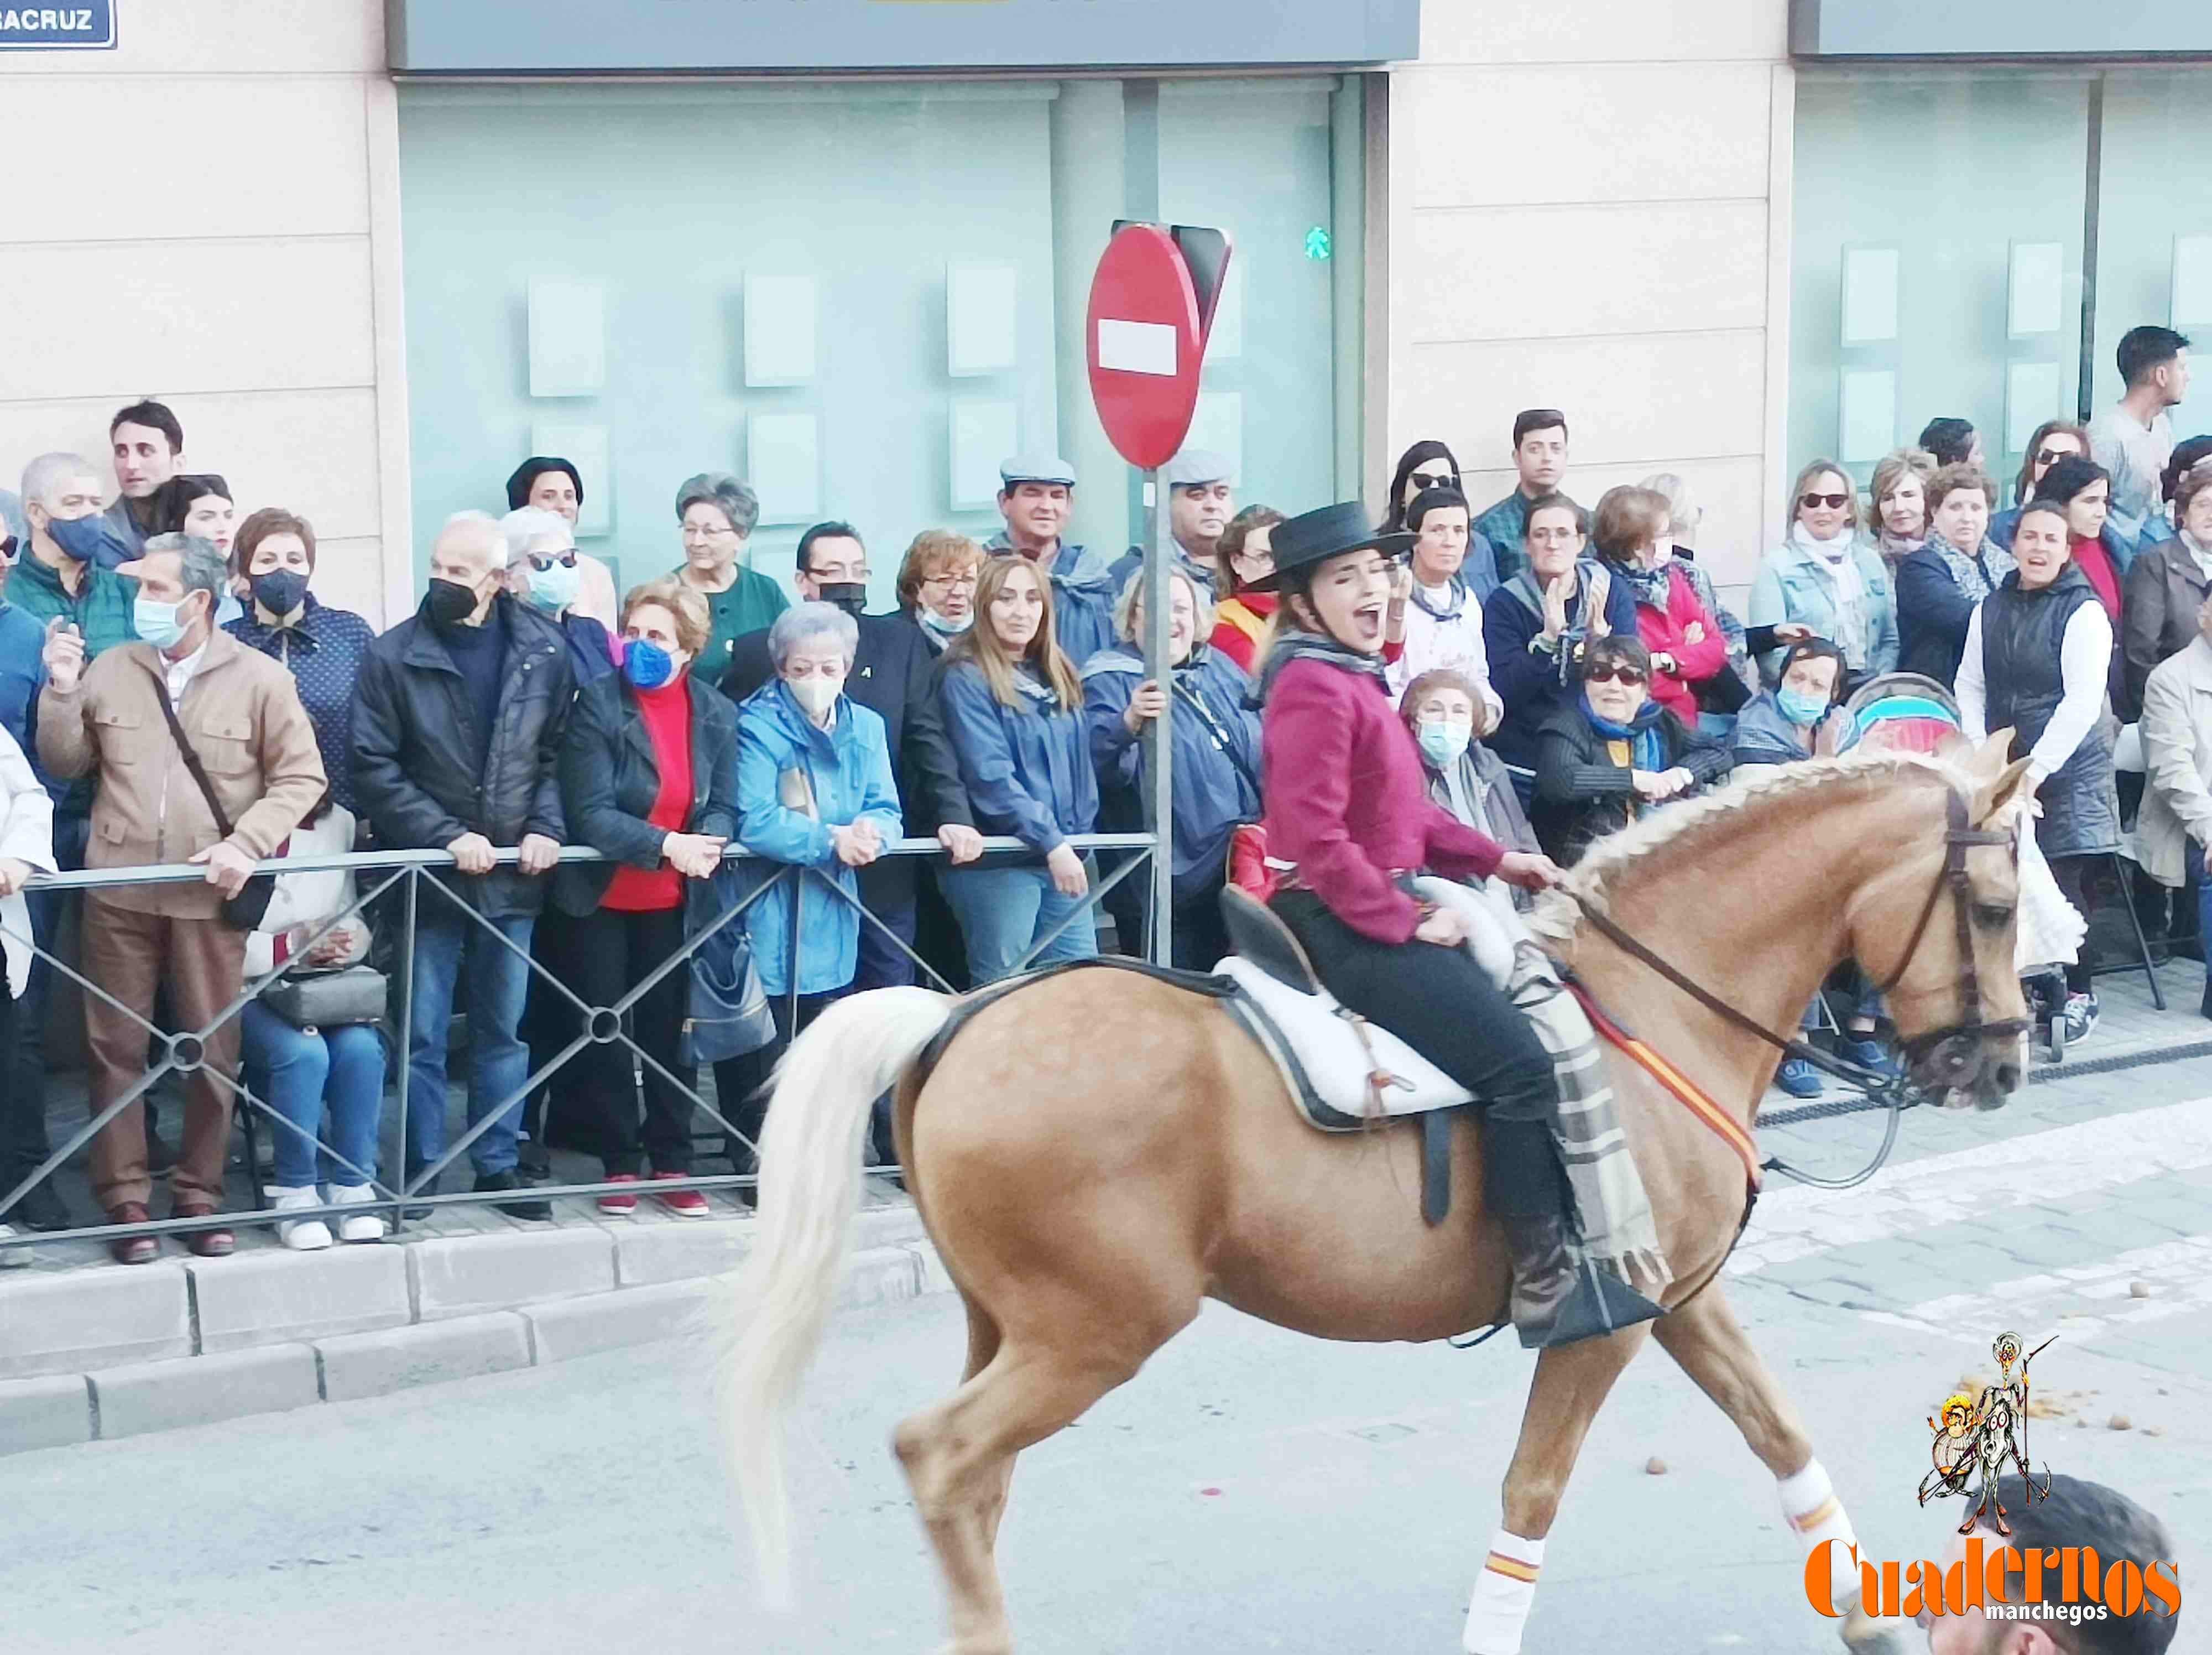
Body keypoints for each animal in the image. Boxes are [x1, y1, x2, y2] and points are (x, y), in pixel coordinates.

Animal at [730, 743, 2035, 1646]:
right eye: (1996, 907)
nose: (2005, 1065)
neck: (1652, 1002)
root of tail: (955, 1014)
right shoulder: (1604, 1323)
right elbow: (1534, 1490)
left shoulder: (1676, 1296)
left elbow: (1778, 1428)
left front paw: (1869, 1615)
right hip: (1093, 1331)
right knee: (940, 1456)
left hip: (1007, 1327)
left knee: (976, 1486)